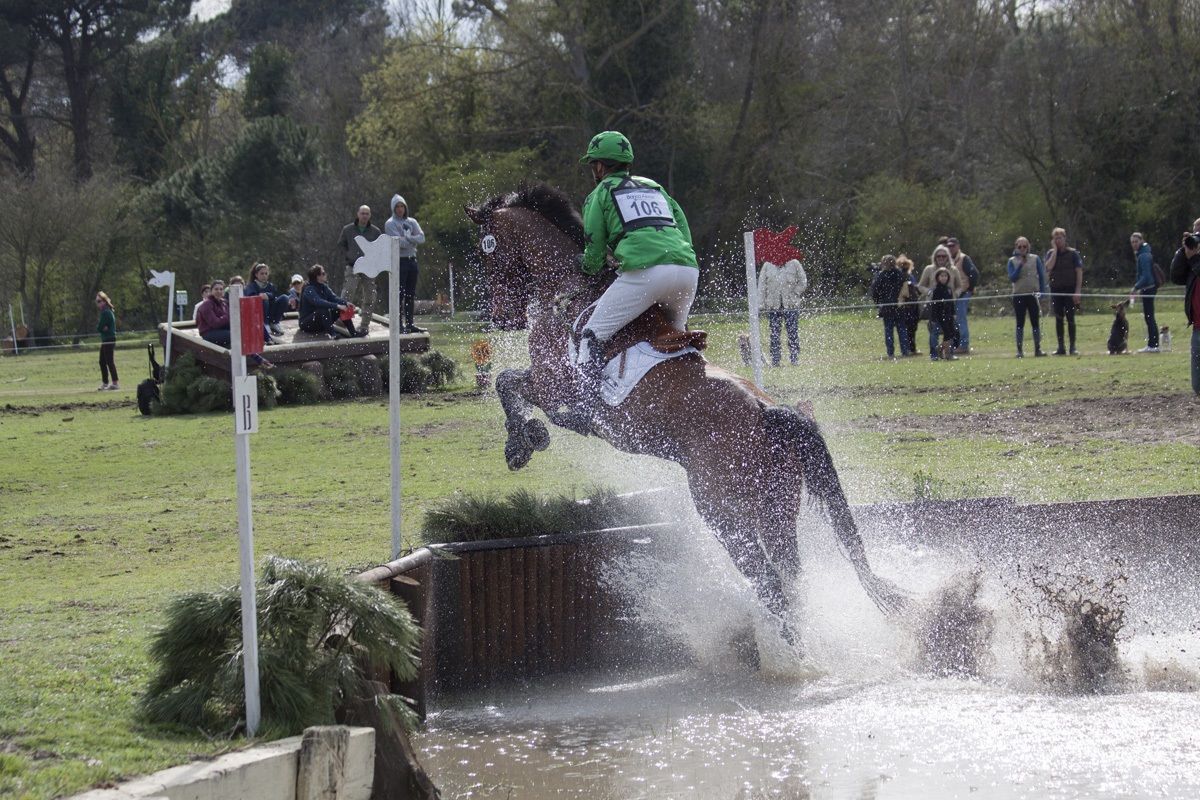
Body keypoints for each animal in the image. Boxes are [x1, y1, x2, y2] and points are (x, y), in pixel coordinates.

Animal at [465, 184, 905, 639]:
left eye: (486, 252)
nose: (501, 318)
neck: (566, 293)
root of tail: (768, 412)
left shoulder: (554, 386)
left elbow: (506, 382)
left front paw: (523, 441)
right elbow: (508, 383)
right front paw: (526, 438)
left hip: (724, 513)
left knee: (768, 581)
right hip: (776, 508)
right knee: (790, 576)